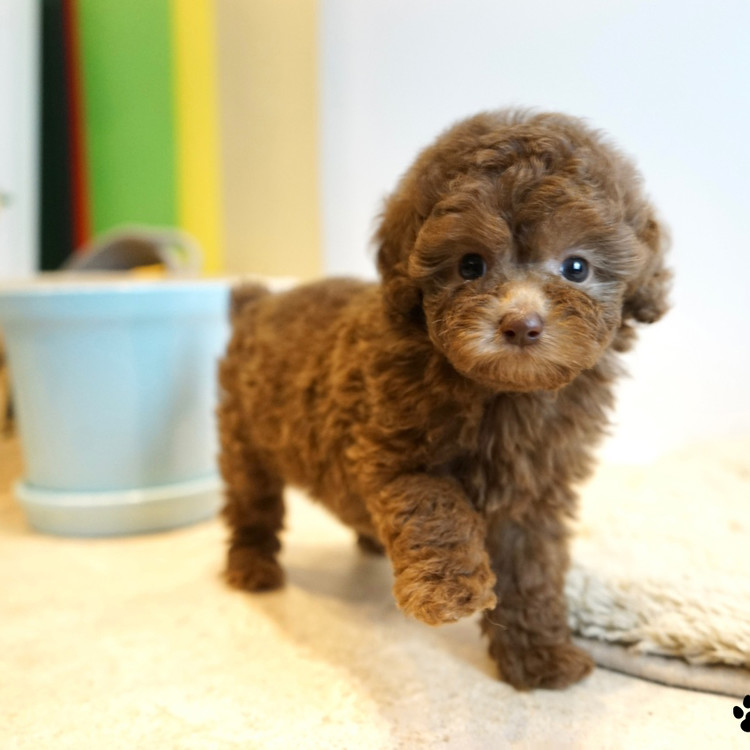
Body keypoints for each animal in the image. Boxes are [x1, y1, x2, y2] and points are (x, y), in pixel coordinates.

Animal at [216, 110, 668, 692]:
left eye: (576, 267)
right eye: (470, 265)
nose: (522, 325)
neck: (504, 394)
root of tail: (259, 302)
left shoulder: (533, 494)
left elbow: (532, 572)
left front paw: (540, 657)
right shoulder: (394, 456)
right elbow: (438, 508)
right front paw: (450, 590)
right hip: (245, 438)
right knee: (252, 502)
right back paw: (252, 565)